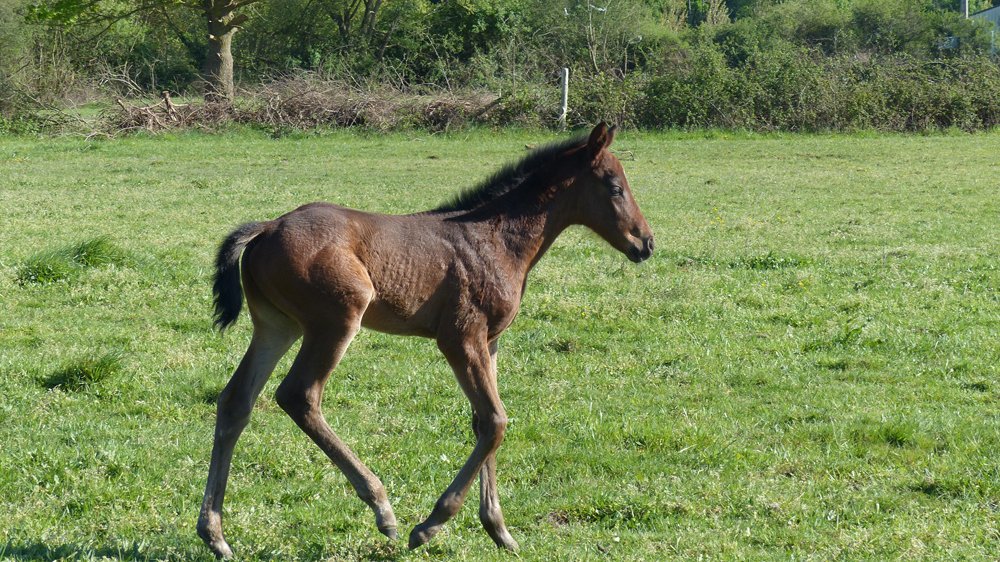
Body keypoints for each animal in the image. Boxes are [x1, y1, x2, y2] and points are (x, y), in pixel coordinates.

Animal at [197, 122, 654, 558]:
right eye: (615, 187)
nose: (645, 242)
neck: (496, 239)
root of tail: (265, 229)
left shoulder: (489, 342)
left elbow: (482, 421)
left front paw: (499, 529)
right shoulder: (461, 337)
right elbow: (496, 421)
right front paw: (432, 524)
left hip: (277, 326)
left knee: (236, 401)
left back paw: (215, 535)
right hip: (336, 320)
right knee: (299, 395)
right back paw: (382, 507)